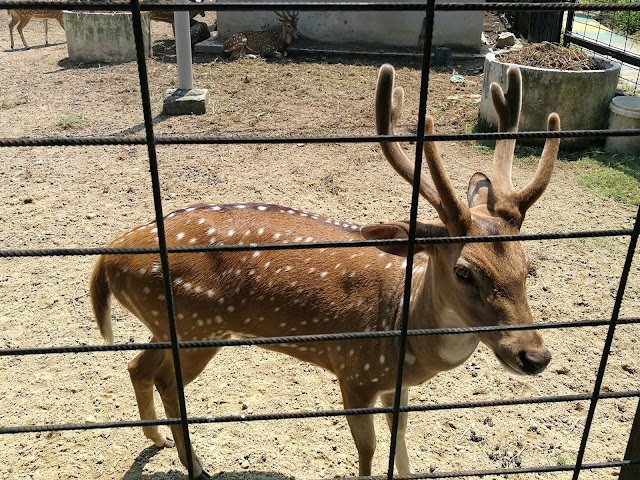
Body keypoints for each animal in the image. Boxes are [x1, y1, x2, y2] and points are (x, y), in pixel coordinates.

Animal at [89, 64, 560, 480]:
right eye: (464, 271)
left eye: (528, 265)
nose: (534, 356)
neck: (404, 325)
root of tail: (108, 256)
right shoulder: (354, 370)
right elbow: (368, 449)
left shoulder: (395, 386)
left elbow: (401, 437)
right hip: (196, 326)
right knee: (167, 381)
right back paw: (196, 465)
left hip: (169, 325)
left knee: (138, 367)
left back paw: (158, 440)